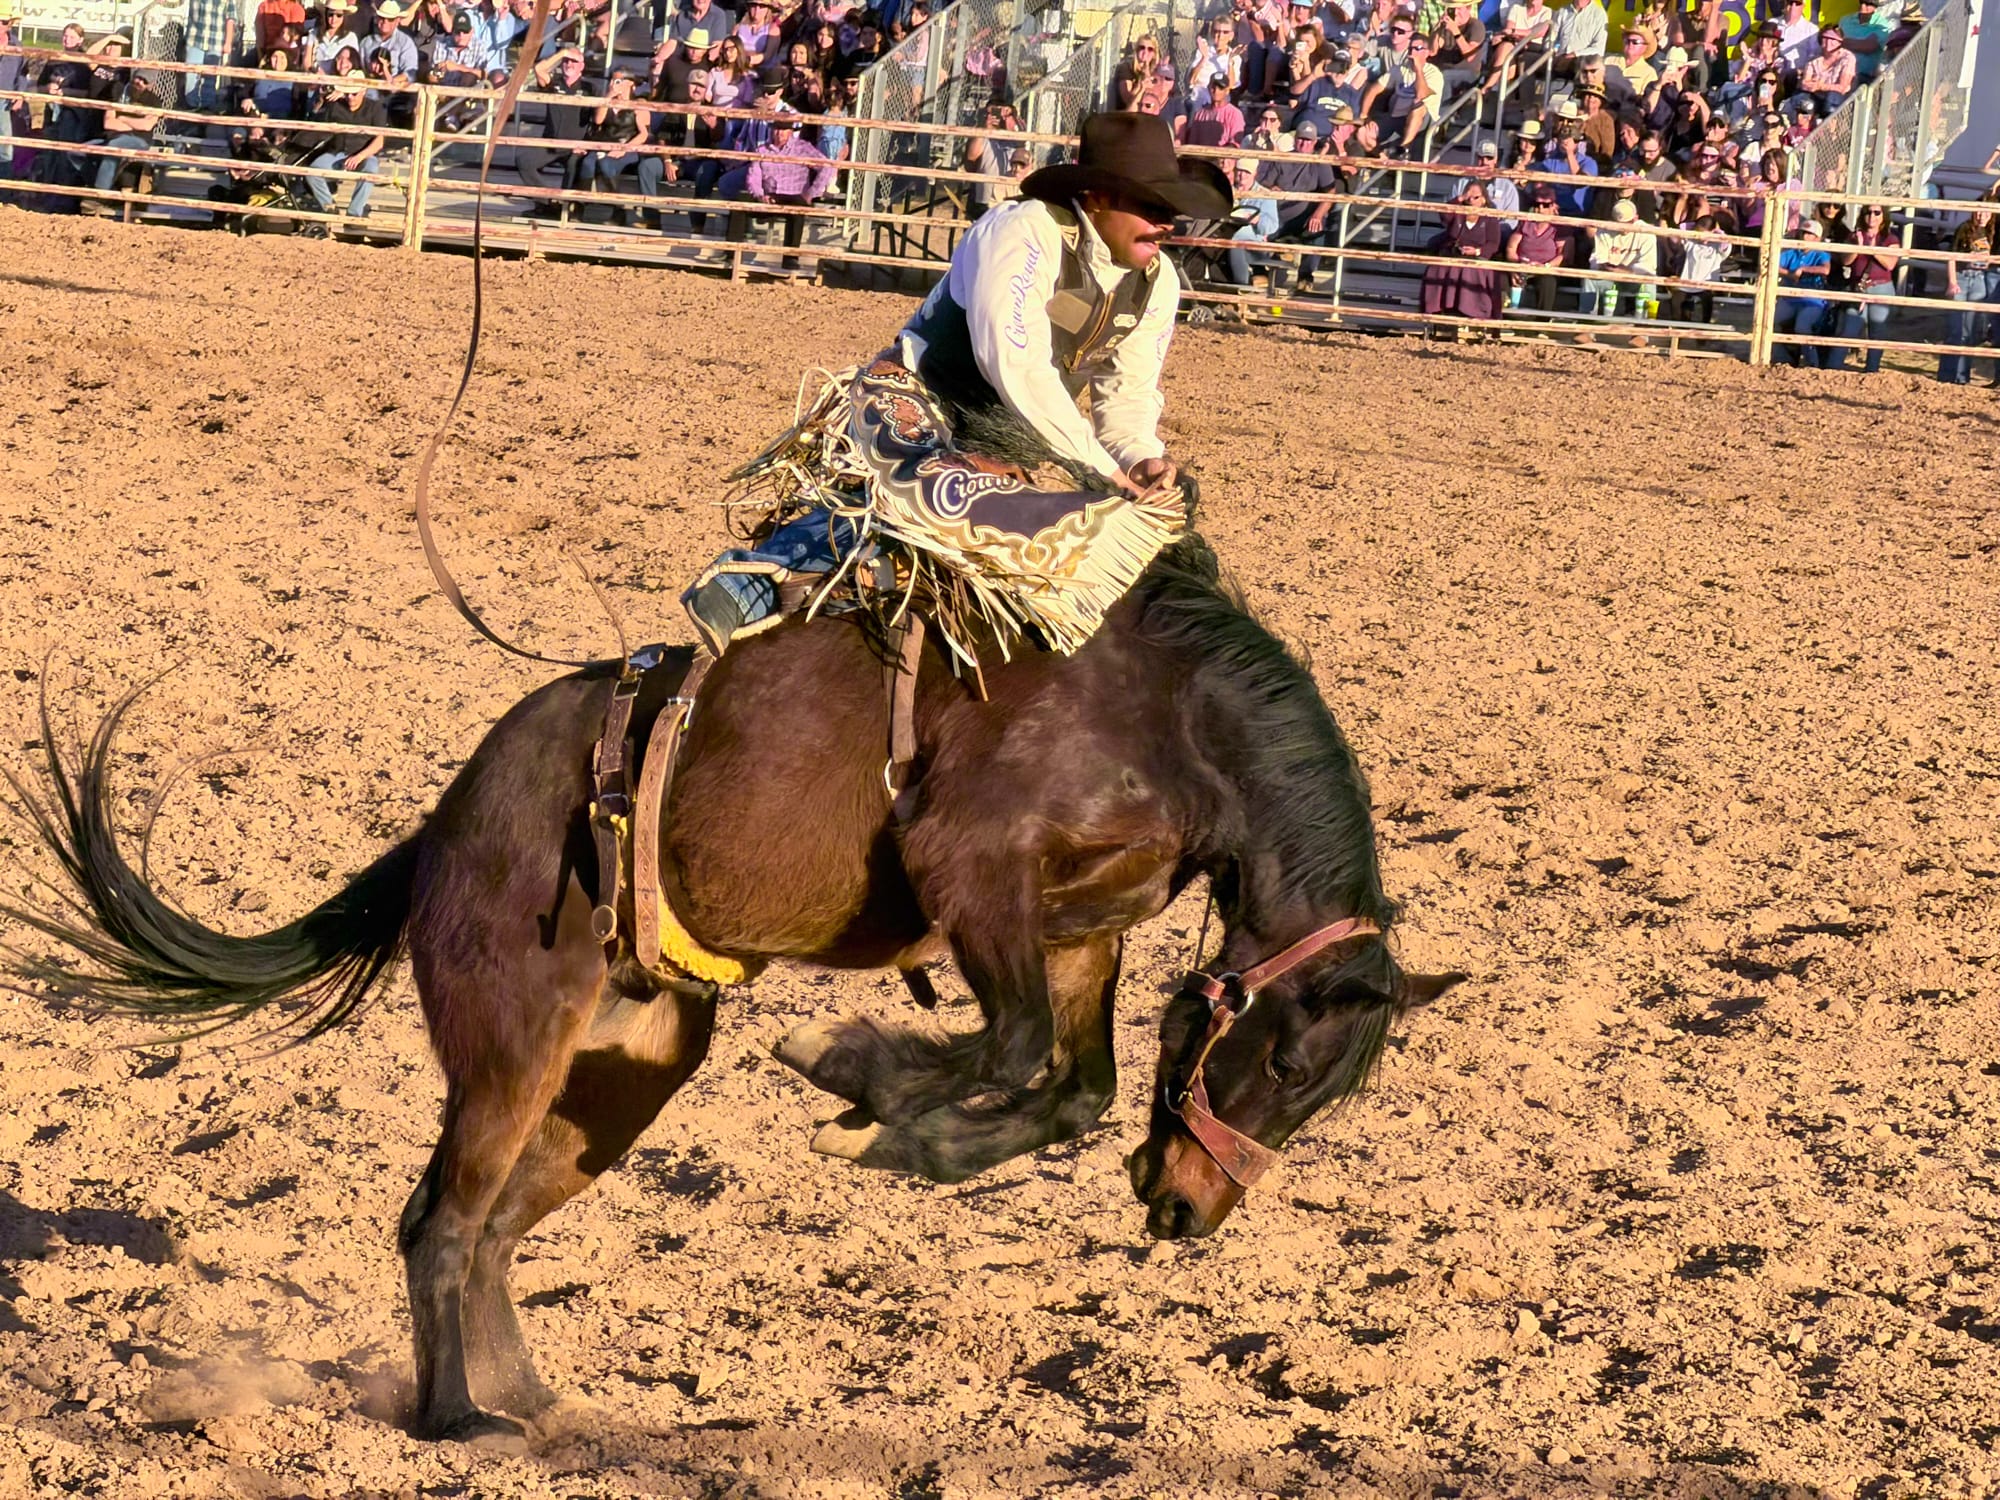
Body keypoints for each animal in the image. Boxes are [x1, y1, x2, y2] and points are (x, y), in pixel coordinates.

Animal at [2, 535, 1462, 1447]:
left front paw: (910, 1121)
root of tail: (444, 825)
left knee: (497, 1231)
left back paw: (535, 1403)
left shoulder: (1078, 933)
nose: (1188, 1213)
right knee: (439, 1222)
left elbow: (1077, 1085)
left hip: (628, 1070)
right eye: (1287, 1065)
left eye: (1316, 1098)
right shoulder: (970, 872)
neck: (1159, 712)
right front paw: (863, 1080)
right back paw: (455, 1419)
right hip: (511, 1050)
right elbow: (1011, 1053)